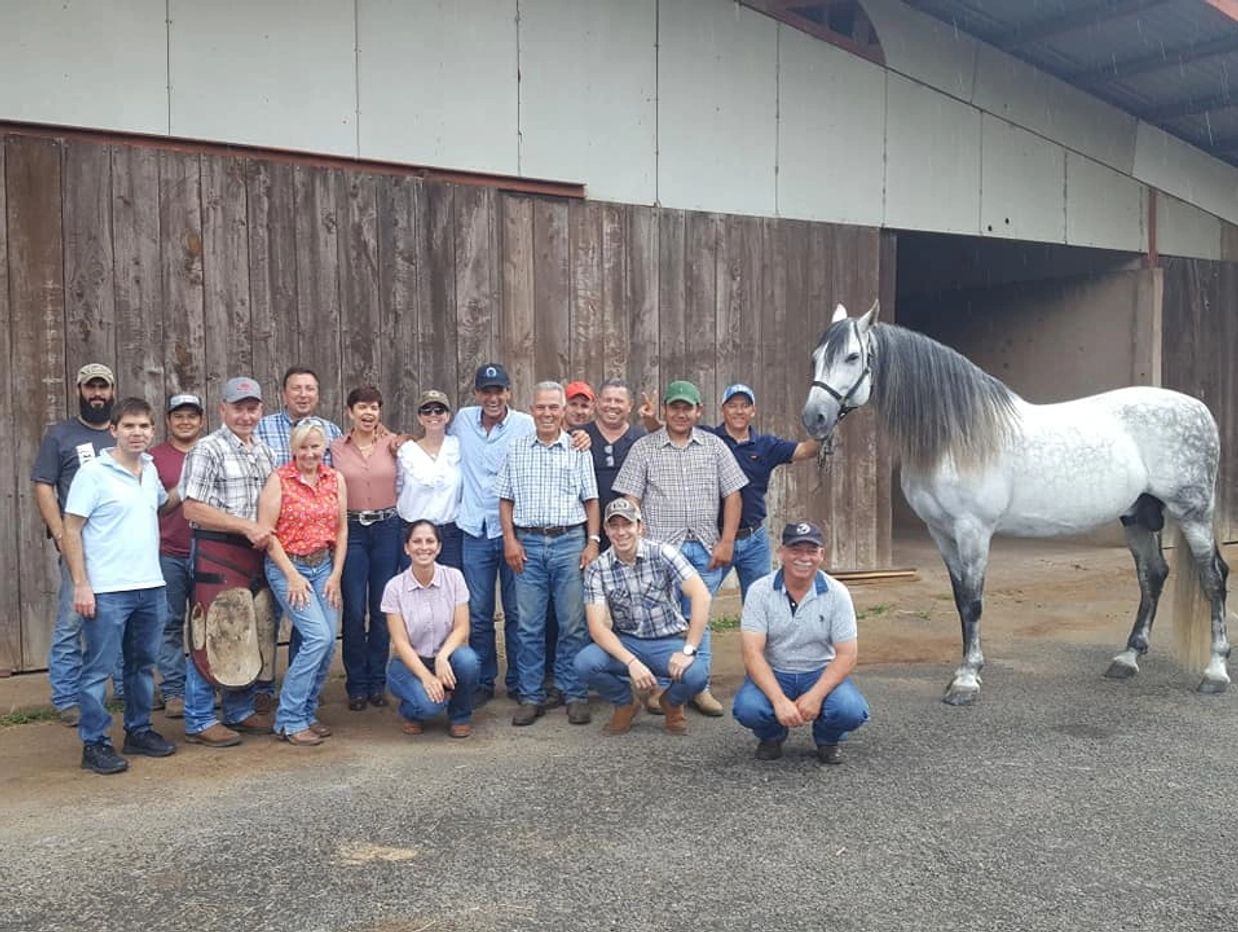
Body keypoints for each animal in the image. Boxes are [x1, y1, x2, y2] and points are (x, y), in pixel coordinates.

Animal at [802, 302, 1228, 703]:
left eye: (852, 357)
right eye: (816, 357)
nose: (814, 418)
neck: (957, 438)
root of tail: (1199, 409)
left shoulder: (973, 530)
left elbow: (974, 602)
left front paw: (966, 680)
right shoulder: (941, 532)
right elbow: (960, 599)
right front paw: (968, 671)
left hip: (1192, 513)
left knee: (1214, 578)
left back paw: (1215, 672)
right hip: (1137, 515)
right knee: (1152, 576)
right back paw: (1127, 659)